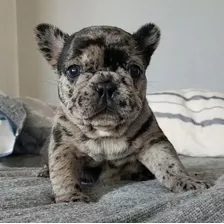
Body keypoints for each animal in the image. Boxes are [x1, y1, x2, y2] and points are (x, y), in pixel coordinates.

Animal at [34, 22, 210, 203]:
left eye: (135, 70)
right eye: (73, 70)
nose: (106, 85)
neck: (105, 132)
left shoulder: (154, 142)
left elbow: (170, 164)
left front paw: (186, 181)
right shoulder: (64, 146)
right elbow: (63, 171)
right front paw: (71, 197)